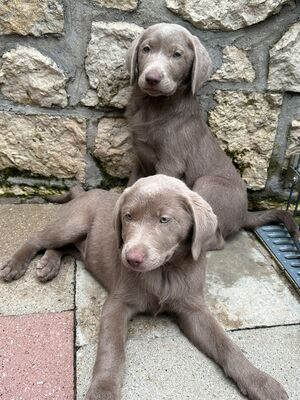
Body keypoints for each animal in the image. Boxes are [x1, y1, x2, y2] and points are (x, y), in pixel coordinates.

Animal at [0, 176, 288, 400]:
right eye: (128, 217)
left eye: (164, 220)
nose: (131, 258)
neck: (165, 271)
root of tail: (86, 192)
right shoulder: (117, 303)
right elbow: (112, 348)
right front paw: (103, 391)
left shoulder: (194, 309)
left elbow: (227, 346)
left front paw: (261, 382)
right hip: (72, 224)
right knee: (39, 239)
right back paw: (16, 265)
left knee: (61, 247)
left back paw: (48, 264)